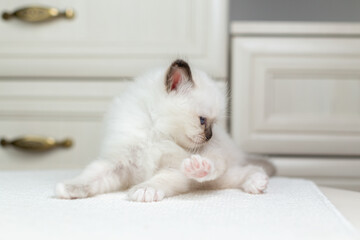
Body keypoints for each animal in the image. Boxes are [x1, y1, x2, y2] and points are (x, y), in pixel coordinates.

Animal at [55, 59, 272, 202]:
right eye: (202, 121)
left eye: (213, 124)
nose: (210, 136)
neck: (155, 134)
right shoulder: (118, 163)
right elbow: (90, 177)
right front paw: (70, 188)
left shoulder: (174, 169)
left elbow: (159, 180)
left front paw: (144, 190)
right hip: (218, 179)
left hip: (217, 164)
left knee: (243, 168)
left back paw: (249, 180)